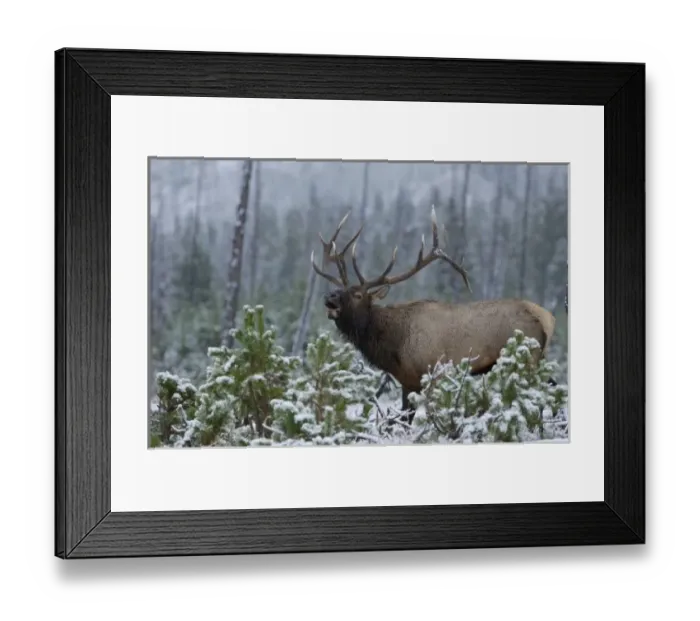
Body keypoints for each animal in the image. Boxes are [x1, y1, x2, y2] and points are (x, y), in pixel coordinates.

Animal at [310, 206, 557, 425]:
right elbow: (405, 417)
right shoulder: (407, 381)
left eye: (358, 295)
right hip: (538, 360)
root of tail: (547, 318)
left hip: (527, 359)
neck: (394, 344)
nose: (329, 297)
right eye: (339, 289)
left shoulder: (433, 373)